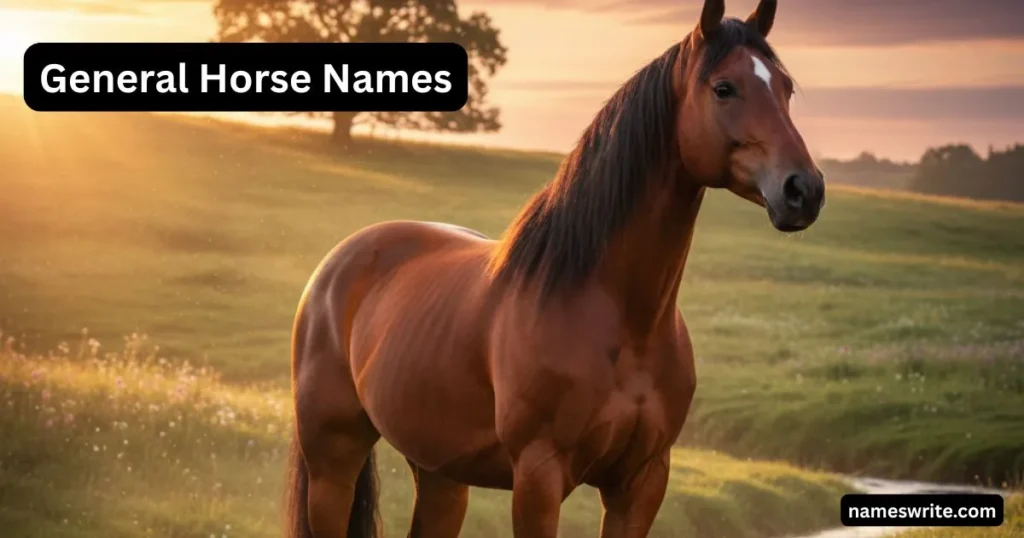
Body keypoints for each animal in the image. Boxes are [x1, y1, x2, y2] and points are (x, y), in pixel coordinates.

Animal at [286, 0, 825, 536]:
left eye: (785, 87)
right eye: (724, 88)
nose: (804, 190)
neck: (621, 319)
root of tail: (333, 268)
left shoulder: (642, 482)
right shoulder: (539, 478)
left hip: (440, 474)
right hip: (333, 466)